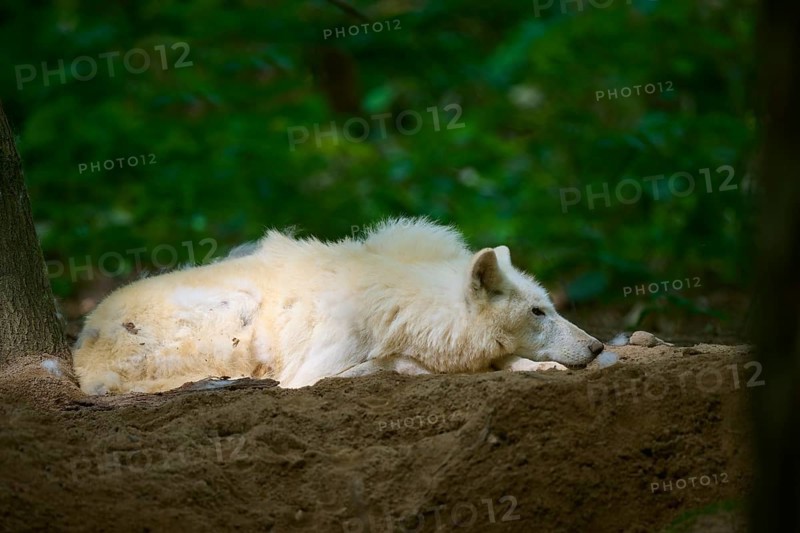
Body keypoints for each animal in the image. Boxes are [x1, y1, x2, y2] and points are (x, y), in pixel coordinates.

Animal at [73, 218, 603, 394]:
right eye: (538, 312)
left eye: (550, 308)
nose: (598, 346)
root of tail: (81, 345)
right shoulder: (309, 375)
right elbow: (402, 365)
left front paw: (532, 367)